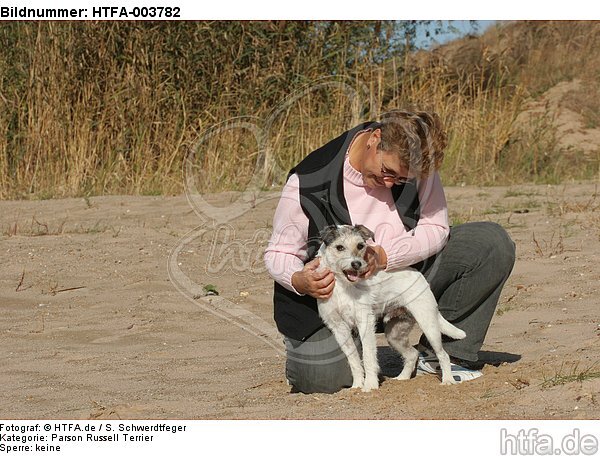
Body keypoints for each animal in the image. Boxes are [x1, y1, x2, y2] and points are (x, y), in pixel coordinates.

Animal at [316, 224, 466, 392]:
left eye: (360, 245)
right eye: (339, 247)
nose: (357, 264)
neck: (342, 285)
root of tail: (421, 277)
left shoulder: (364, 323)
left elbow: (368, 357)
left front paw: (370, 385)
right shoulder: (339, 328)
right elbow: (354, 360)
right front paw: (357, 385)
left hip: (429, 327)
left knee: (443, 355)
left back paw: (448, 380)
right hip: (394, 335)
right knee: (412, 354)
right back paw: (403, 378)